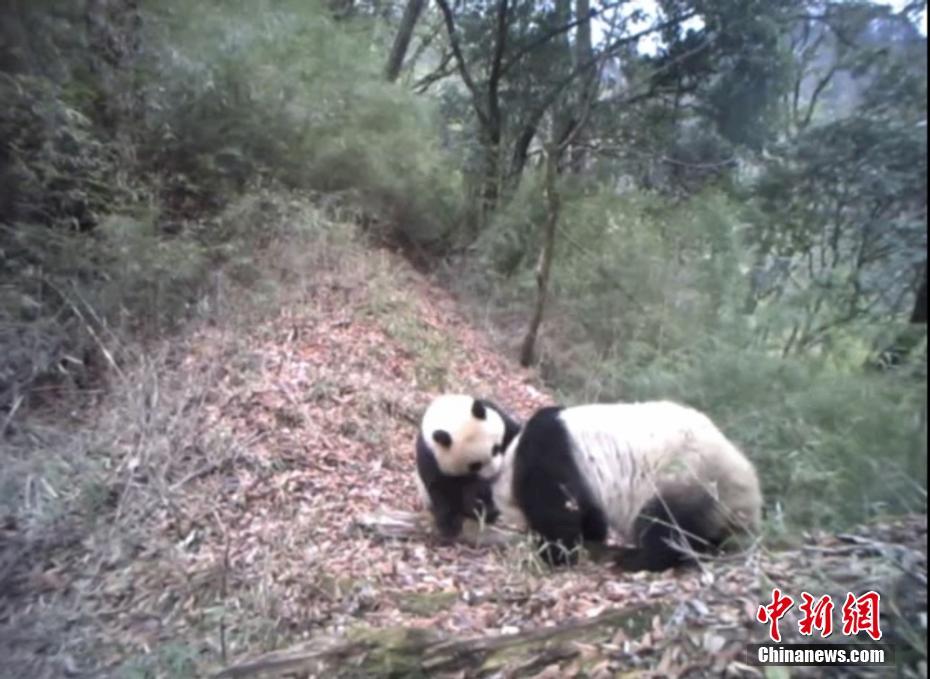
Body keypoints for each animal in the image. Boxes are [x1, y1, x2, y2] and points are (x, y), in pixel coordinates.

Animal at [416, 394, 520, 540]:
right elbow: (440, 487)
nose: (494, 472)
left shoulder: (499, 415)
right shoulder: (430, 456)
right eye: (475, 465)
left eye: (495, 448)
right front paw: (449, 525)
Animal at [478, 402, 760, 572]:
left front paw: (554, 554)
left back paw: (635, 560)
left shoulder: (547, 456)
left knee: (666, 525)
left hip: (683, 474)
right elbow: (589, 511)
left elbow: (558, 513)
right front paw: (589, 537)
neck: (512, 459)